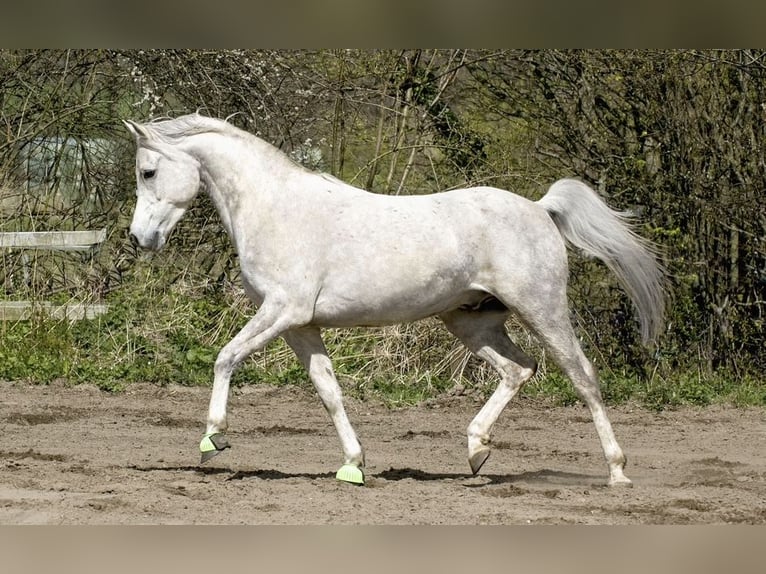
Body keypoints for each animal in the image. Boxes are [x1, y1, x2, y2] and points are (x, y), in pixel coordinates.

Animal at [124, 113, 665, 487]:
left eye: (148, 172)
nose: (139, 239)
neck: (276, 208)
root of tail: (539, 207)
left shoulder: (282, 311)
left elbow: (226, 357)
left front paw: (213, 437)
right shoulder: (300, 325)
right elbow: (329, 392)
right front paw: (353, 465)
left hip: (542, 308)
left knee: (583, 377)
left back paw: (617, 472)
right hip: (471, 321)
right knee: (518, 369)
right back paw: (476, 451)